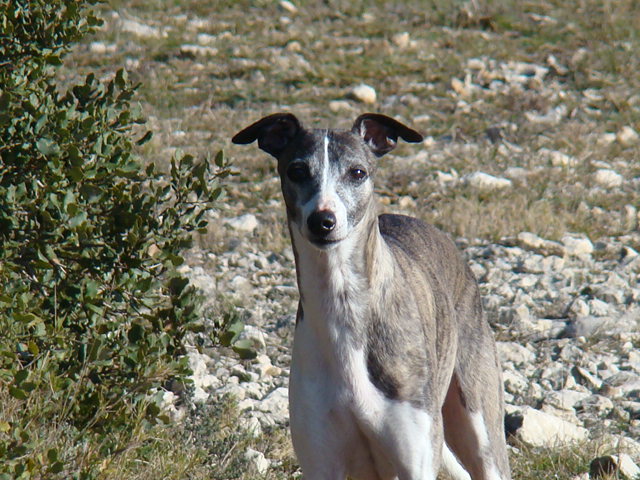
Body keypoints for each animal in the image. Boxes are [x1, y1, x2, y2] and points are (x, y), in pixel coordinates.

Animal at [230, 113, 510, 480]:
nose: (323, 221)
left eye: (357, 172)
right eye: (297, 170)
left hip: (481, 427)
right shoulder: (321, 463)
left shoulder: (415, 458)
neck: (343, 308)